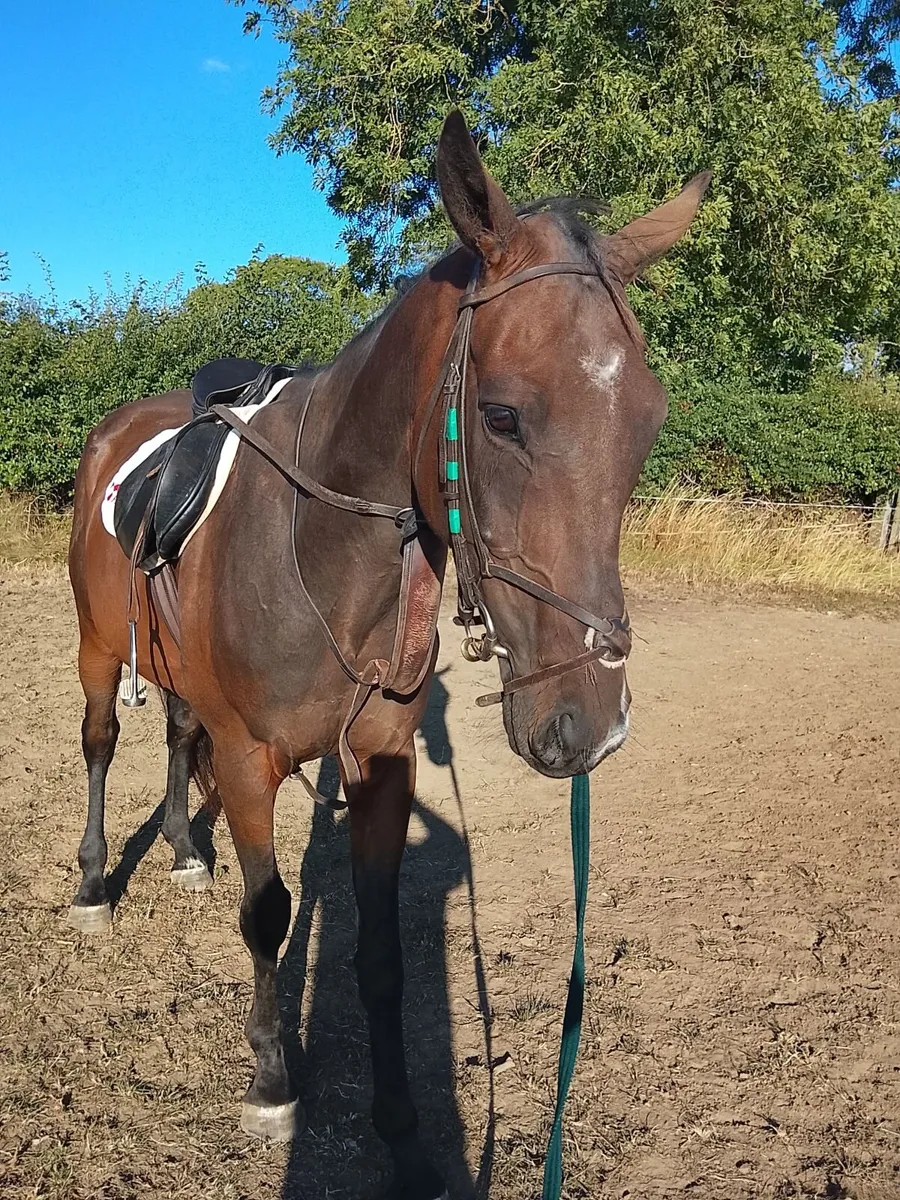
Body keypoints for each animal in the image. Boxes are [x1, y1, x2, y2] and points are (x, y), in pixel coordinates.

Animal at [67, 110, 709, 1199]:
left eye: (649, 424)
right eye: (500, 415)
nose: (590, 724)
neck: (321, 552)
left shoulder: (380, 764)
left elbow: (377, 956)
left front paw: (406, 1133)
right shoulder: (251, 763)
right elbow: (270, 915)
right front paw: (273, 1079)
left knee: (176, 738)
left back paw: (186, 850)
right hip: (98, 649)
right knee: (104, 741)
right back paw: (91, 883)